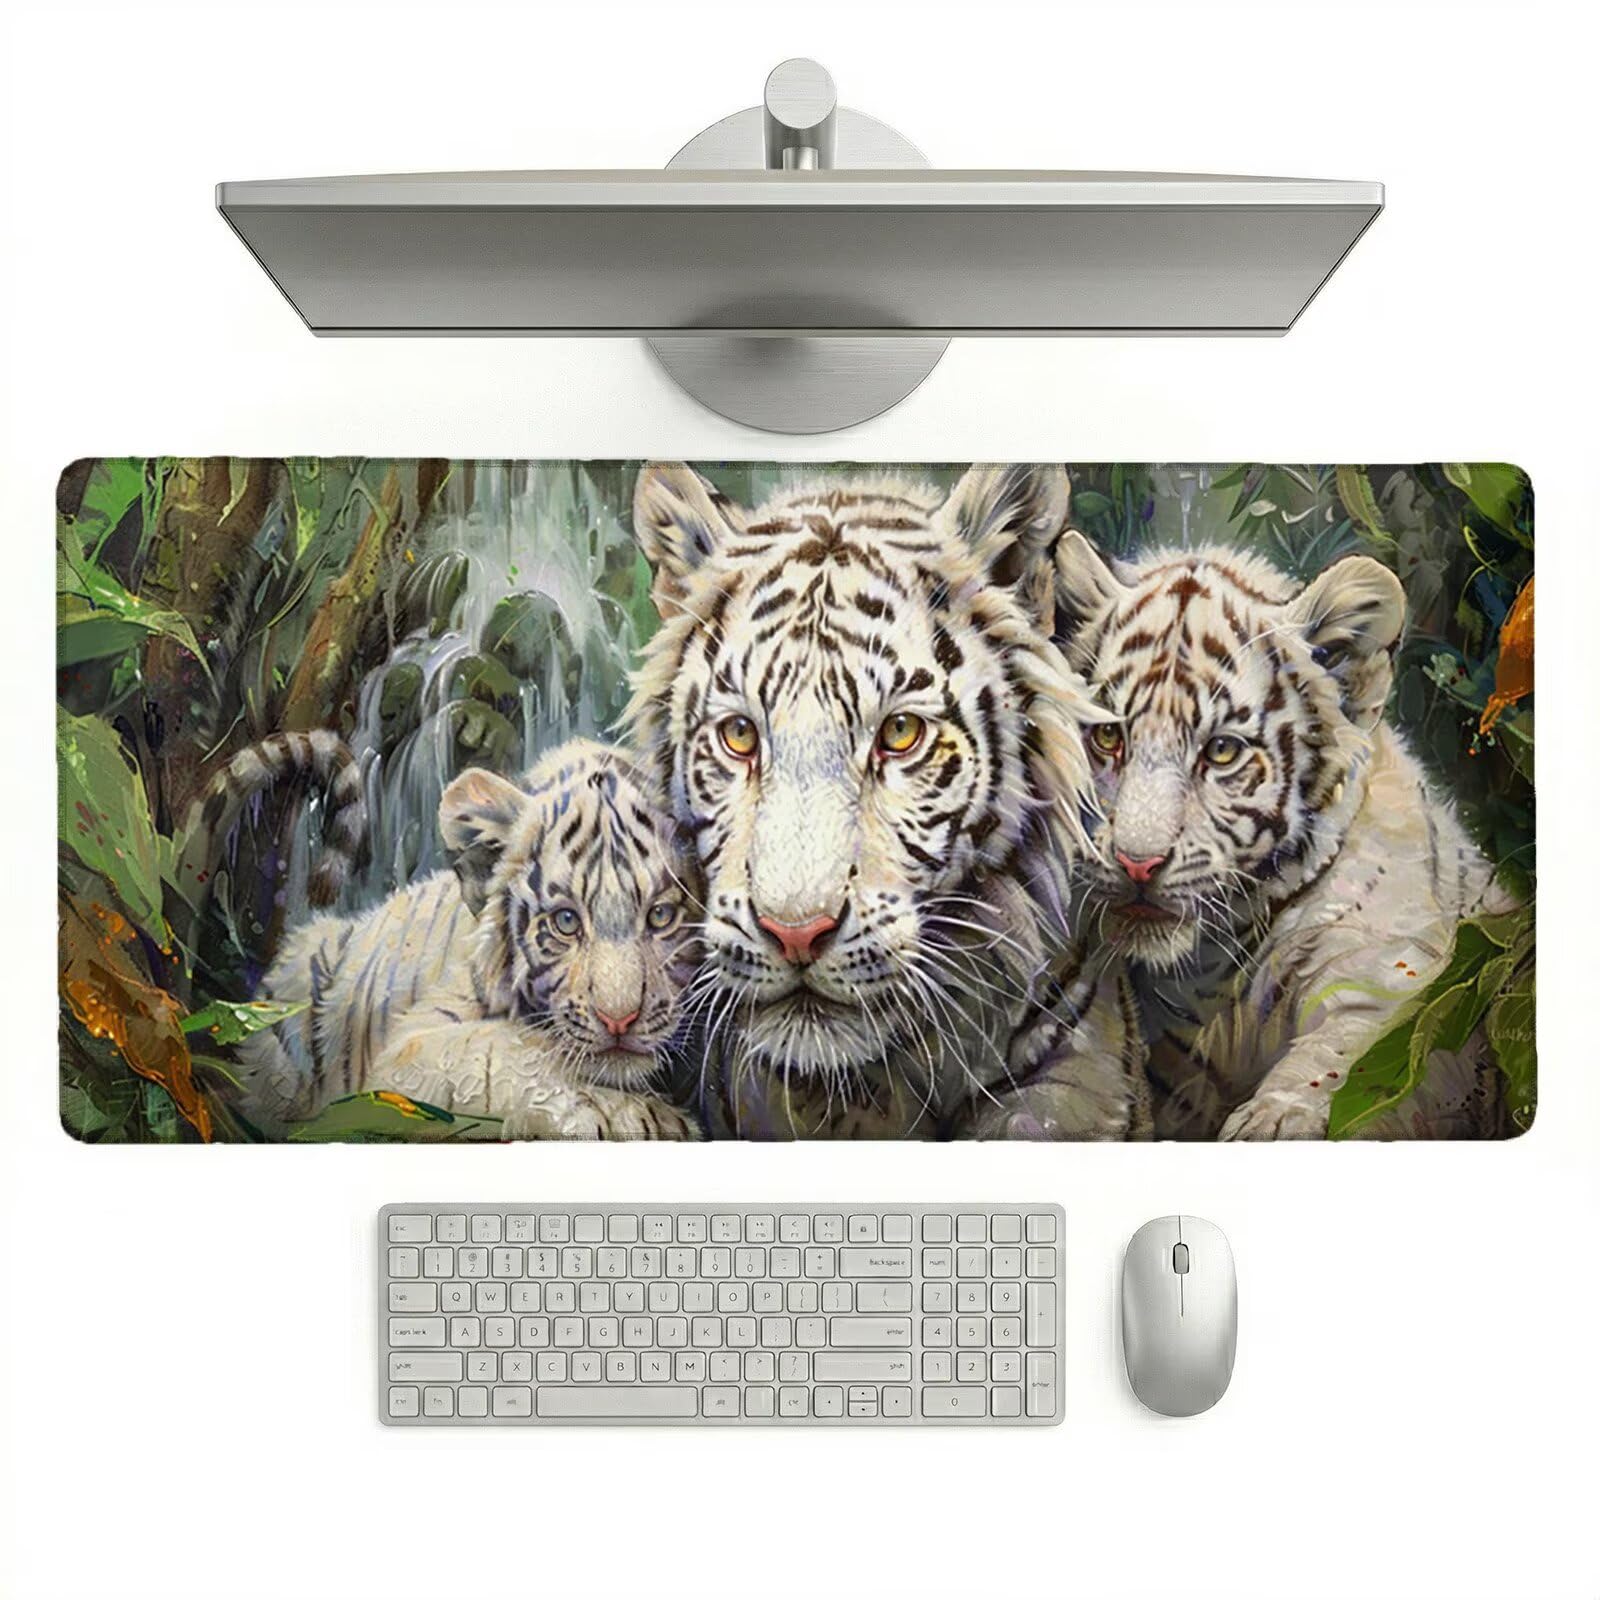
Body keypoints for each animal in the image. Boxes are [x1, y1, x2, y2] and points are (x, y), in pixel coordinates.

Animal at [236, 739, 703, 1140]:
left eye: (660, 915)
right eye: (566, 921)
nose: (619, 1021)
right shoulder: (404, 1061)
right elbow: (509, 1052)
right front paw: (629, 1113)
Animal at [1052, 533, 1516, 1140]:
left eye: (1222, 750)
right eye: (1107, 737)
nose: (1137, 864)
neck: (1211, 969)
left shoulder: (1388, 969)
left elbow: (1352, 1052)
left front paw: (1272, 1121)